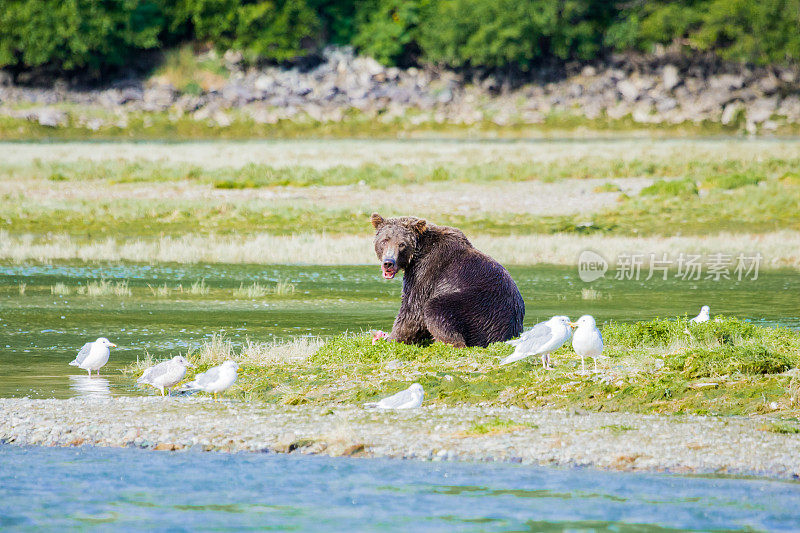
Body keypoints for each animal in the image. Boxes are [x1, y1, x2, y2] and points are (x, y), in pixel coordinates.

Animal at [370, 214, 524, 348]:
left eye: (402, 244)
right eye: (384, 240)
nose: (388, 263)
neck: (417, 254)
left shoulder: (425, 273)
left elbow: (413, 311)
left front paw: (390, 338)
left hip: (478, 307)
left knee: (435, 310)